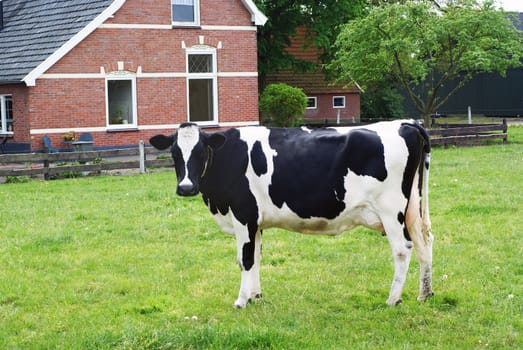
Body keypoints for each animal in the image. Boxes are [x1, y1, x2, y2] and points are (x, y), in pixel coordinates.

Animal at [150, 119, 434, 308]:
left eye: (200, 151)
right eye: (174, 153)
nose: (186, 187)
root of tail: (407, 123)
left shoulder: (243, 215)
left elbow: (245, 259)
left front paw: (241, 300)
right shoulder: (256, 222)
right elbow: (256, 256)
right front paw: (255, 296)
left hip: (391, 210)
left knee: (403, 249)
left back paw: (393, 299)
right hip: (412, 208)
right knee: (424, 242)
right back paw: (425, 293)